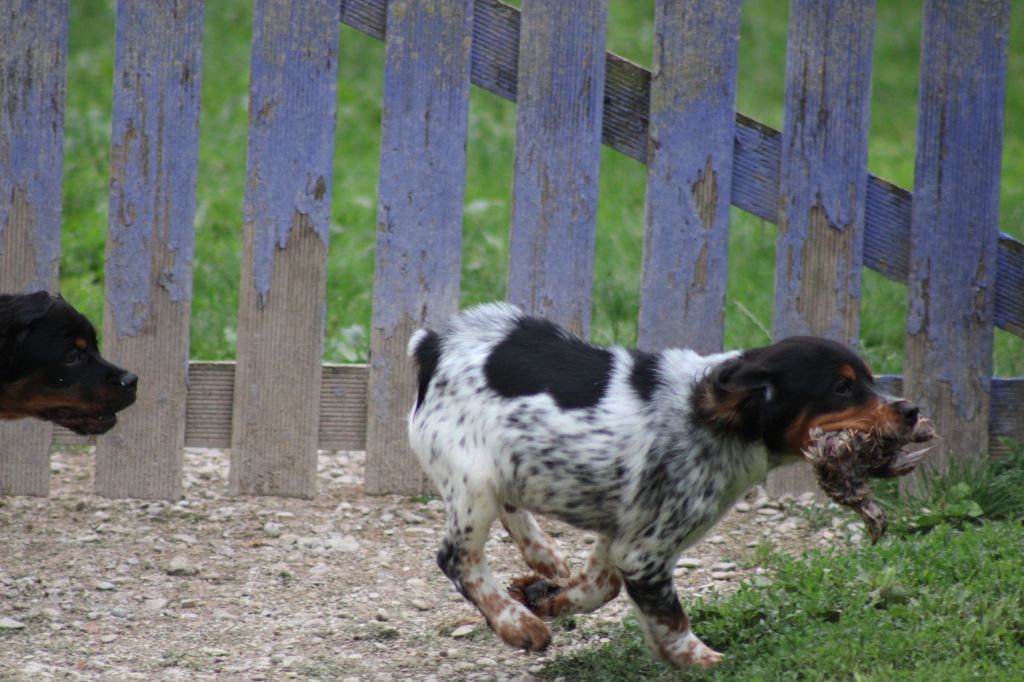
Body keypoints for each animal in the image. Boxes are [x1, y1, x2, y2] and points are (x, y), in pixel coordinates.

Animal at [405, 303, 921, 663]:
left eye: (870, 379)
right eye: (842, 387)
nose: (912, 410)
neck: (718, 425)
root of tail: (435, 346)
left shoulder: (621, 534)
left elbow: (600, 588)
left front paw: (545, 596)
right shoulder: (646, 552)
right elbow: (671, 619)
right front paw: (704, 661)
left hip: (502, 469)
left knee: (510, 511)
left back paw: (543, 555)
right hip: (473, 482)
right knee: (458, 559)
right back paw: (516, 625)